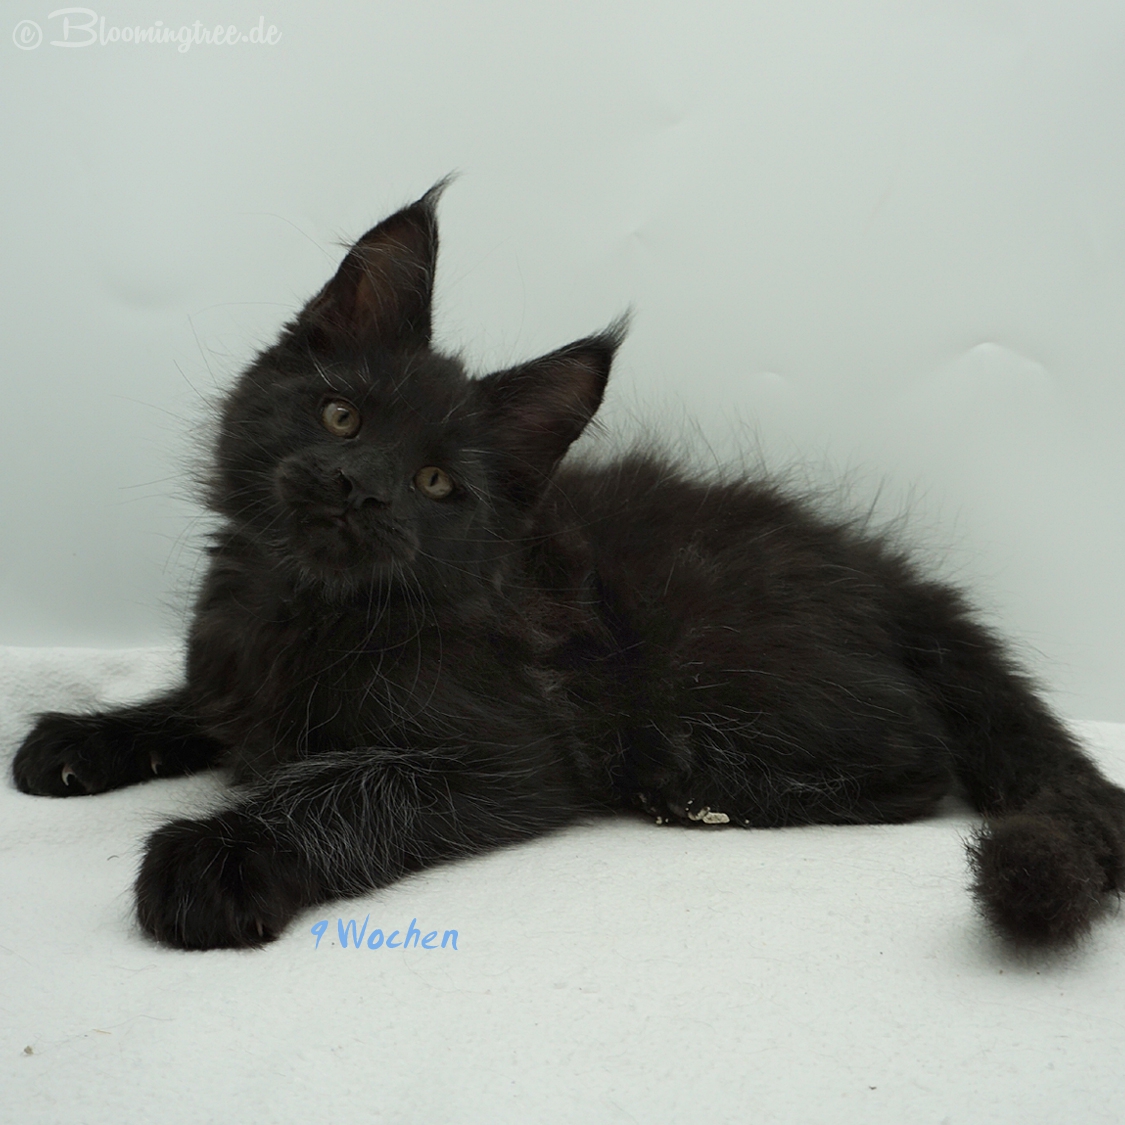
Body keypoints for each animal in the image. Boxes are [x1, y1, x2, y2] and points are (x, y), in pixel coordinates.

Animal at [13, 181, 1125, 950]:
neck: (302, 610)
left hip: (717, 658)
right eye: (340, 416)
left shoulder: (510, 756)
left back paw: (700, 794)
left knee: (919, 761)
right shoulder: (228, 671)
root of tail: (892, 575)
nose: (358, 488)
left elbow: (351, 786)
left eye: (435, 483)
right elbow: (192, 707)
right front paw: (82, 737)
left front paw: (220, 856)